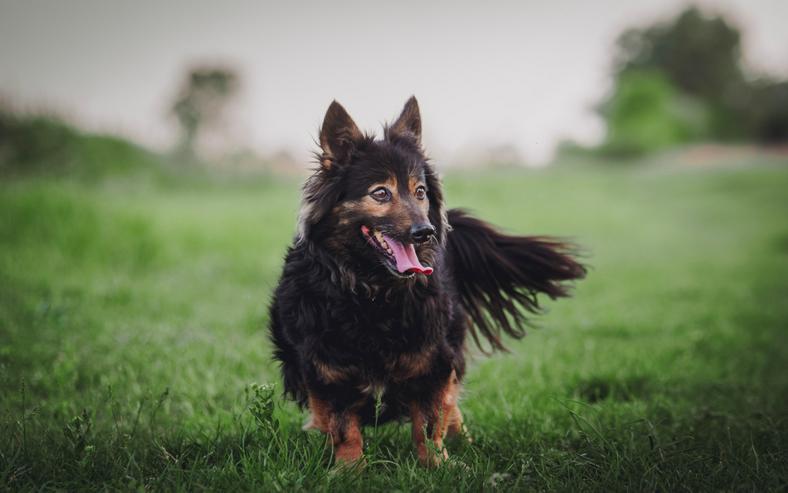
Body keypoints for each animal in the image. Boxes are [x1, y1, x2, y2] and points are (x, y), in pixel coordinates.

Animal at [270, 96, 584, 466]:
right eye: (381, 193)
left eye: (420, 192)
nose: (426, 232)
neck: (374, 293)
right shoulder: (327, 371)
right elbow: (345, 429)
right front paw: (348, 469)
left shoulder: (435, 363)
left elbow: (430, 423)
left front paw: (436, 466)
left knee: (453, 409)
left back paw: (467, 443)